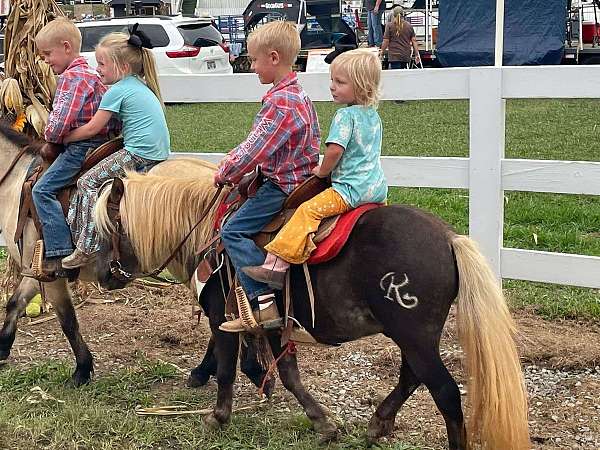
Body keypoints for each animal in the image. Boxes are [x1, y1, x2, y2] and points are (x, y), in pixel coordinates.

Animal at [94, 170, 528, 450]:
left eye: (107, 227)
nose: (102, 275)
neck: (207, 231)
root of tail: (450, 238)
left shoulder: (222, 319)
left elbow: (226, 370)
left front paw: (217, 417)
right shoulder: (272, 325)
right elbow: (287, 374)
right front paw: (324, 425)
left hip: (414, 333)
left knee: (444, 391)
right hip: (415, 336)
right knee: (412, 376)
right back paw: (378, 423)